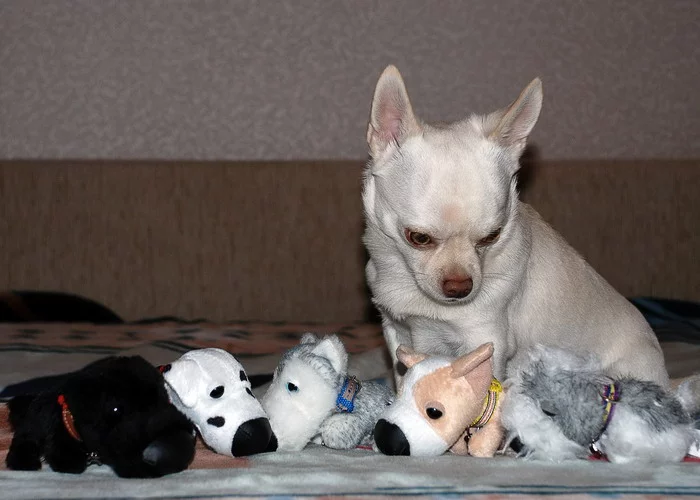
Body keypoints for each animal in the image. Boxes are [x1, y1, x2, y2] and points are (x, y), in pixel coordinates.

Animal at [362, 65, 668, 387]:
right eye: (418, 238)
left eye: (491, 237)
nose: (460, 288)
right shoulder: (396, 333)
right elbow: (402, 378)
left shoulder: (483, 338)